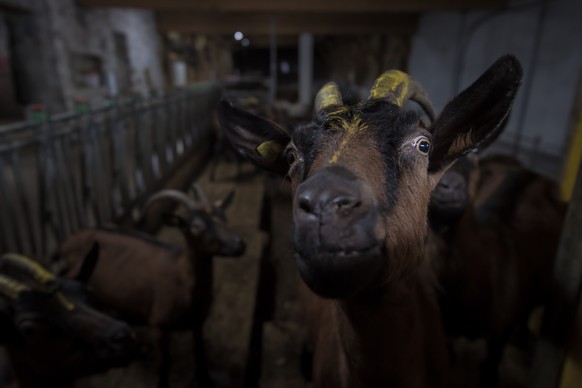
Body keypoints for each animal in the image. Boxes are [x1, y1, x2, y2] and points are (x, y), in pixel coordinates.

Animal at [55, 186, 246, 388]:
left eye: (223, 216)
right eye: (196, 227)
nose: (239, 244)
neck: (181, 279)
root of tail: (65, 244)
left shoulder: (198, 321)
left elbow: (200, 353)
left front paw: (206, 379)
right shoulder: (159, 324)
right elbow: (165, 362)